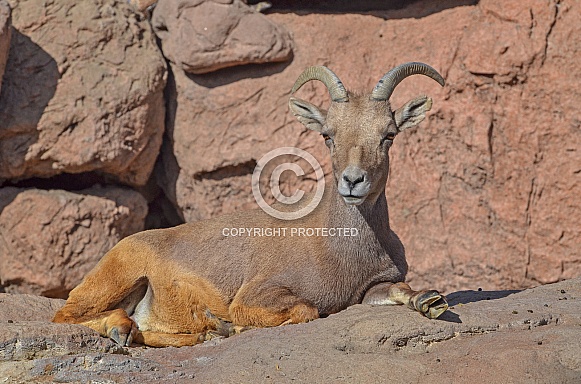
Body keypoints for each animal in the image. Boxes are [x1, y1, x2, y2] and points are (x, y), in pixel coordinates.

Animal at [52, 62, 446, 348]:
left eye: (388, 135)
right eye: (328, 135)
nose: (353, 181)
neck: (340, 247)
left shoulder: (371, 288)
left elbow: (400, 291)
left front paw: (430, 302)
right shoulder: (259, 294)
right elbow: (305, 310)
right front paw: (235, 326)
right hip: (118, 277)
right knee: (67, 316)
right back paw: (126, 328)